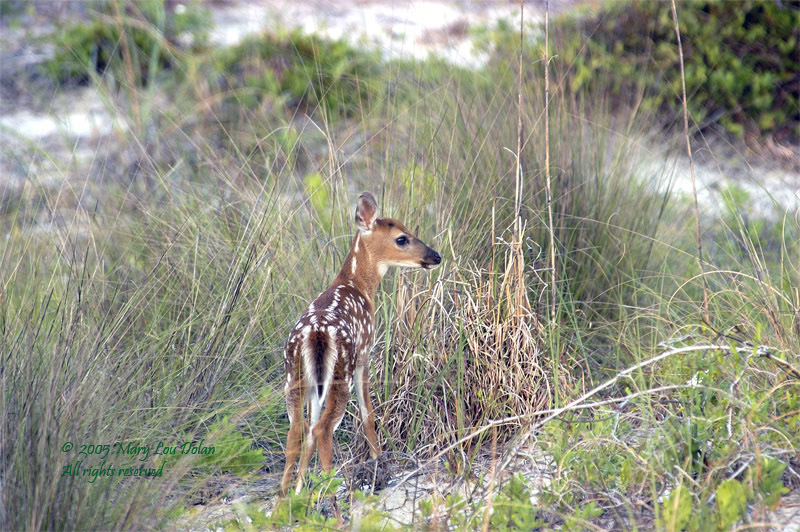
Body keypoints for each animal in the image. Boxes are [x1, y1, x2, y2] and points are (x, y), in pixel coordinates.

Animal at [280, 192, 441, 496]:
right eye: (402, 238)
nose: (435, 256)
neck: (358, 286)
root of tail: (316, 334)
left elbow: (308, 431)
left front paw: (300, 491)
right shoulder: (365, 353)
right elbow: (368, 414)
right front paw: (380, 465)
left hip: (294, 376)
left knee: (298, 430)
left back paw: (284, 501)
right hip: (341, 372)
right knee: (322, 429)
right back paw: (339, 498)